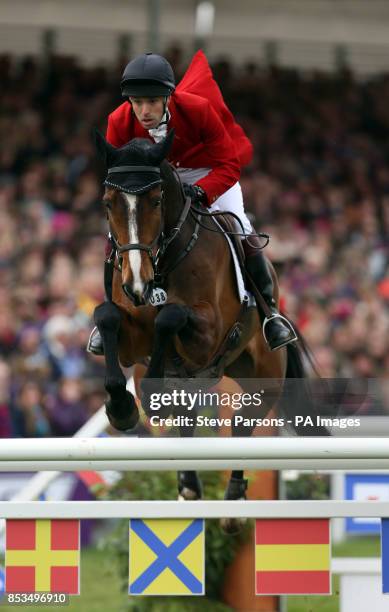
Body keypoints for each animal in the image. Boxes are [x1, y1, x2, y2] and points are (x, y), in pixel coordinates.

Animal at [94, 133, 328, 532]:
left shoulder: (207, 335)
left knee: (240, 426)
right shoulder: (132, 338)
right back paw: (188, 487)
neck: (164, 260)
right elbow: (108, 315)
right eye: (109, 204)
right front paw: (122, 408)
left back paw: (233, 505)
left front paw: (146, 396)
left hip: (263, 379)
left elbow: (170, 316)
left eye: (156, 201)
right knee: (186, 421)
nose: (137, 285)